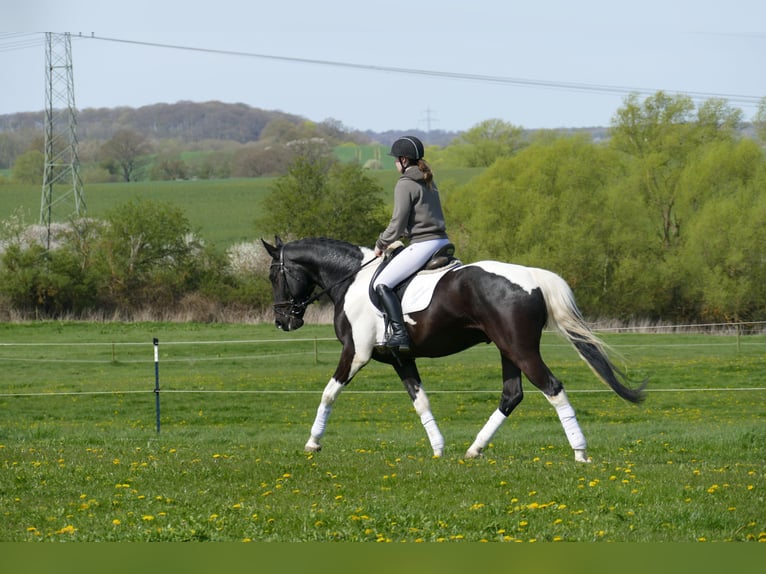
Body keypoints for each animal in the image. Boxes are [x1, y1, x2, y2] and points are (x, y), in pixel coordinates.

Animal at [260, 235, 644, 464]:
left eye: (273, 276)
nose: (282, 321)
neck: (351, 279)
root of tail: (533, 277)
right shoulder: (401, 358)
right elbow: (421, 402)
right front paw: (438, 448)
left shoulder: (357, 353)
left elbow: (328, 393)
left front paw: (313, 442)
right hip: (508, 350)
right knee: (512, 394)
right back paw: (474, 449)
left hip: (520, 349)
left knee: (552, 388)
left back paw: (579, 452)